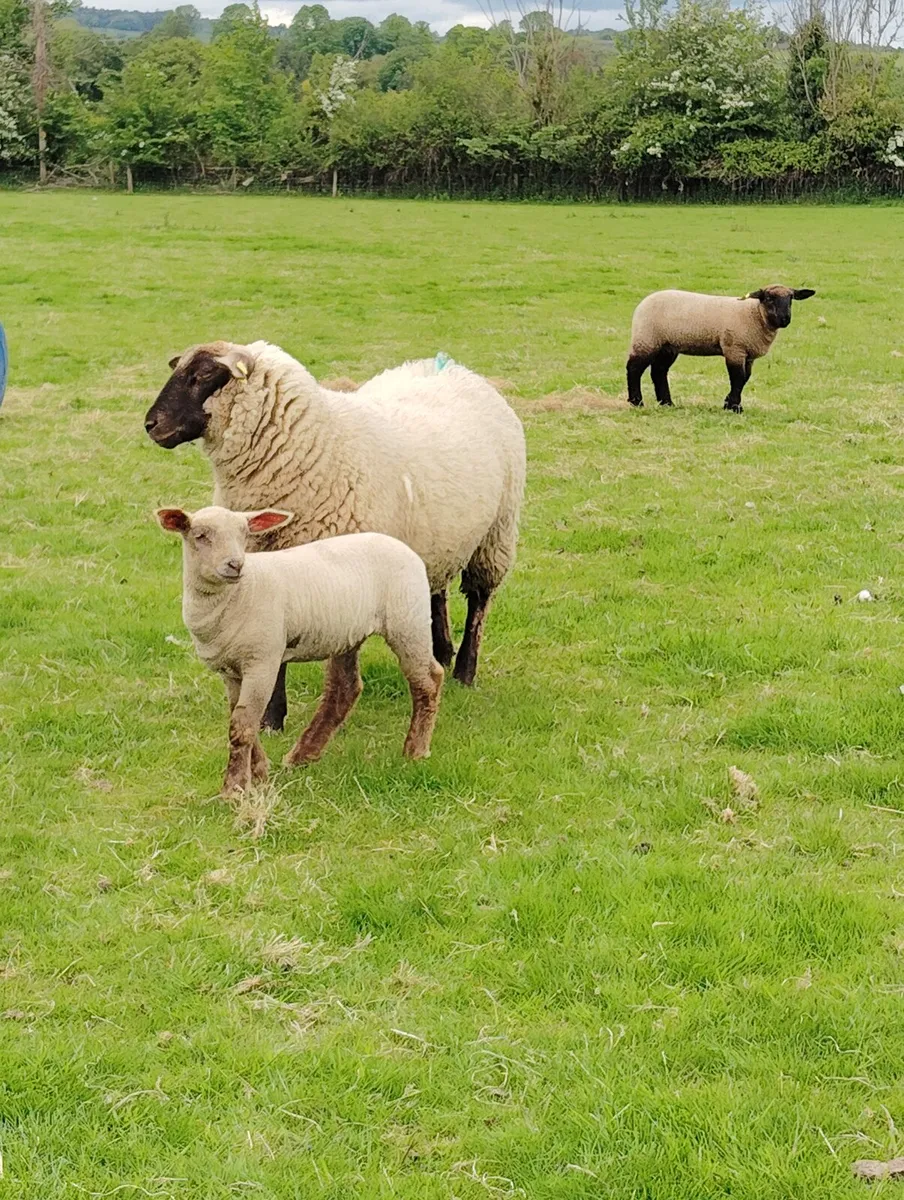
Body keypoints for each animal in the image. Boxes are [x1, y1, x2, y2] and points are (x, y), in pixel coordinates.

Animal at [144, 341, 525, 731]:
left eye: (205, 373)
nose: (150, 425)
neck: (315, 447)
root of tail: (450, 367)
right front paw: (271, 720)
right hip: (439, 539)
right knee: (437, 591)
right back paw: (442, 653)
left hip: (496, 533)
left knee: (479, 599)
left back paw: (464, 670)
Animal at [156, 504, 445, 795]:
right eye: (200, 536)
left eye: (244, 534)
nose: (235, 564)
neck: (237, 595)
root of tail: (403, 547)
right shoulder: (230, 671)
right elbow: (241, 719)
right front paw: (258, 773)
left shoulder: (262, 662)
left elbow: (242, 726)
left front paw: (234, 788)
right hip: (348, 632)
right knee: (344, 689)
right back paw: (303, 755)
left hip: (407, 620)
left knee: (427, 680)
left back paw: (415, 750)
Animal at [626, 285, 816, 412]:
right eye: (769, 298)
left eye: (791, 299)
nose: (785, 319)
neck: (754, 314)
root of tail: (643, 303)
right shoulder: (734, 348)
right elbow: (737, 378)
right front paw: (734, 407)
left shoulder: (747, 355)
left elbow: (745, 378)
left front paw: (729, 403)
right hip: (647, 339)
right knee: (634, 368)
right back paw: (637, 402)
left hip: (668, 346)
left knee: (658, 371)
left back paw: (667, 403)